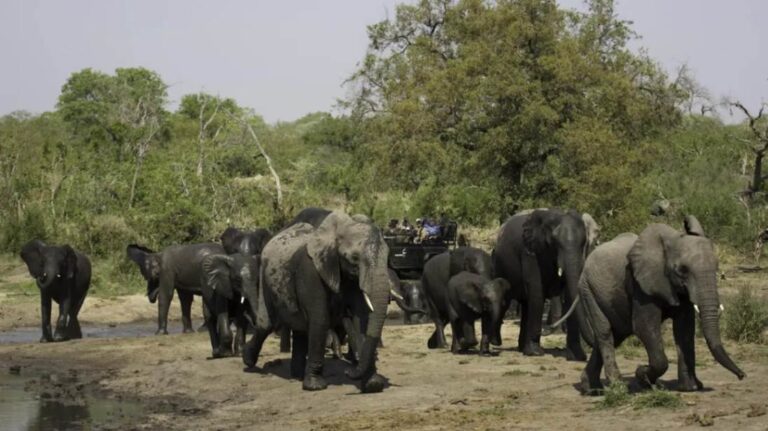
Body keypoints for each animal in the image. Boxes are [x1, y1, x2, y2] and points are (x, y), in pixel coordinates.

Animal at [243, 211, 392, 393]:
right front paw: (315, 386)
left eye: (387, 258)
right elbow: (320, 320)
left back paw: (297, 376)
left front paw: (373, 384)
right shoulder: (311, 272)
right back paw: (248, 361)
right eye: (354, 258)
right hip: (264, 278)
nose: (348, 371)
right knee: (267, 324)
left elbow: (362, 317)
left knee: (299, 328)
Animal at [493, 208, 589, 360]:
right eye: (555, 242)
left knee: (526, 305)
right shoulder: (530, 252)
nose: (546, 330)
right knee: (505, 301)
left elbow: (569, 295)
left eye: (584, 242)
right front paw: (535, 353)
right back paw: (496, 342)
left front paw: (577, 356)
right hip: (499, 266)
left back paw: (522, 348)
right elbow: (537, 290)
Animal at [569, 217, 746, 394]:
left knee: (615, 334)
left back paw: (591, 389)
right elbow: (644, 327)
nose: (742, 375)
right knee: (605, 332)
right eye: (682, 270)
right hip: (587, 289)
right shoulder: (641, 286)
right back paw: (619, 387)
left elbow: (684, 329)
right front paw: (642, 376)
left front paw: (690, 388)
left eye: (717, 268)